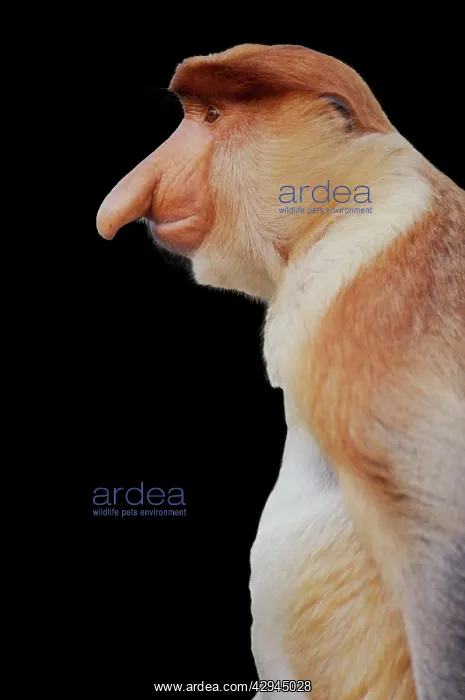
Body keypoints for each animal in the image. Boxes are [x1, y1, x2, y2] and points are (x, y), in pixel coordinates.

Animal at [96, 44, 465, 700]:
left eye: (213, 116)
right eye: (195, 114)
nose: (123, 204)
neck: (352, 200)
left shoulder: (368, 300)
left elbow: (441, 511)